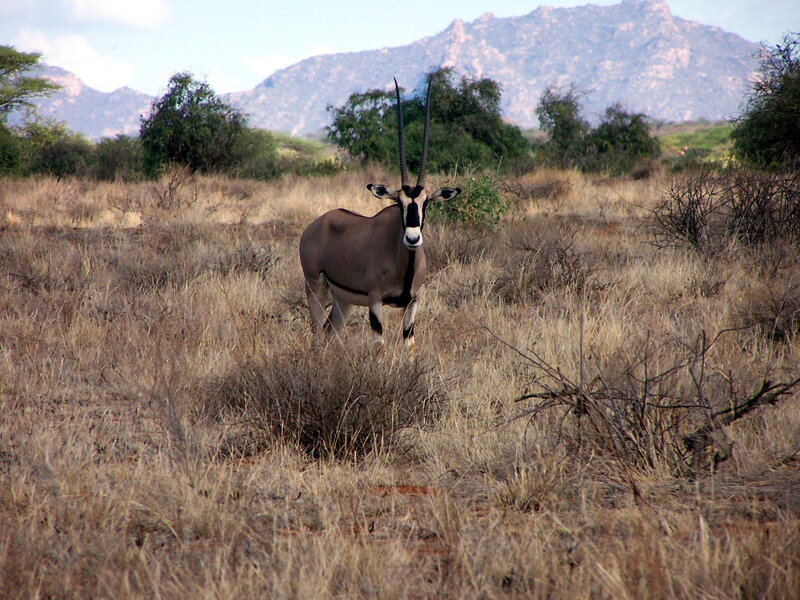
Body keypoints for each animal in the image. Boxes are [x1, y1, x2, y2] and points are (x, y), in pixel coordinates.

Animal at [299, 77, 460, 346]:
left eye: (426, 203)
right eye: (399, 202)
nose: (412, 238)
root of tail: (317, 224)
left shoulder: (413, 302)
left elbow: (408, 343)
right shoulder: (375, 301)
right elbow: (379, 345)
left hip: (343, 299)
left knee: (330, 330)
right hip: (315, 287)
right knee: (316, 332)